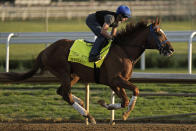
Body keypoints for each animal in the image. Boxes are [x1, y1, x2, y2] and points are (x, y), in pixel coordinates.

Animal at [3, 17, 175, 124]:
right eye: (158, 33)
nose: (171, 49)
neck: (124, 50)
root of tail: (45, 51)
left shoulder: (113, 82)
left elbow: (124, 100)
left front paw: (106, 104)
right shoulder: (115, 79)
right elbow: (136, 90)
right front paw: (126, 113)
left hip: (74, 75)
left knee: (61, 91)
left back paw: (81, 103)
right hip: (63, 72)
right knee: (65, 94)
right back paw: (88, 116)